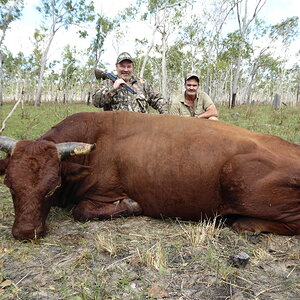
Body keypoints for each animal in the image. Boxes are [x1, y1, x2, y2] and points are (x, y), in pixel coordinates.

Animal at [0, 111, 298, 240]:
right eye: (10, 187)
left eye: (51, 188)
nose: (26, 232)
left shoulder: (105, 194)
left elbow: (82, 211)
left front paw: (131, 205)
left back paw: (245, 223)